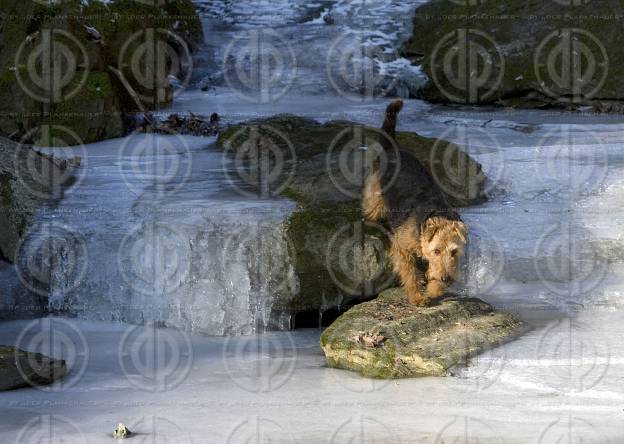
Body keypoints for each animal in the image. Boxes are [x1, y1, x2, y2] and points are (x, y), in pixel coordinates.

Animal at [360, 99, 468, 306]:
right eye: (436, 251)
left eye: (454, 252)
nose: (446, 279)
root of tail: (393, 149)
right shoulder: (401, 249)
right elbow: (410, 274)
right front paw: (417, 297)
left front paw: (434, 290)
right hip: (375, 195)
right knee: (370, 209)